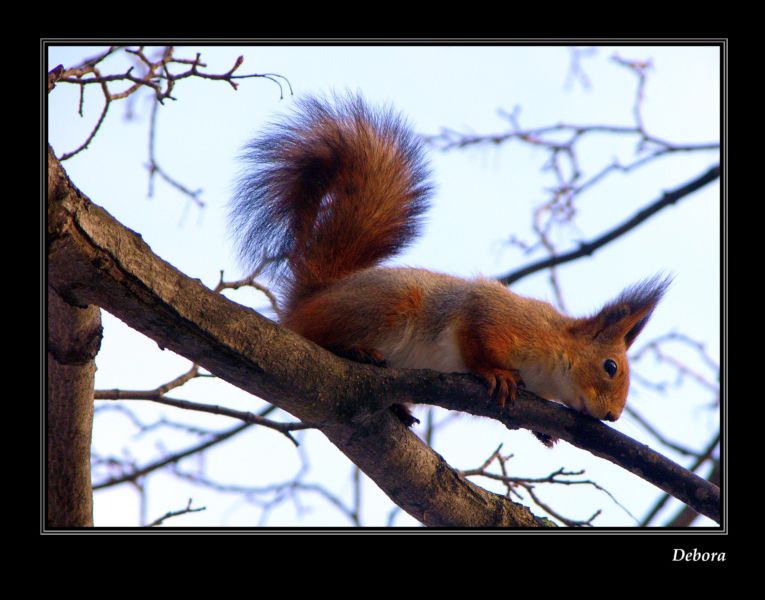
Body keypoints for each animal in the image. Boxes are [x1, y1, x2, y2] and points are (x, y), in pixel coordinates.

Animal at [231, 95, 668, 426]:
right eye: (610, 367)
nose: (612, 416)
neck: (552, 354)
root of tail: (312, 298)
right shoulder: (499, 314)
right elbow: (476, 337)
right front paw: (495, 373)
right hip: (386, 304)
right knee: (319, 333)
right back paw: (355, 350)